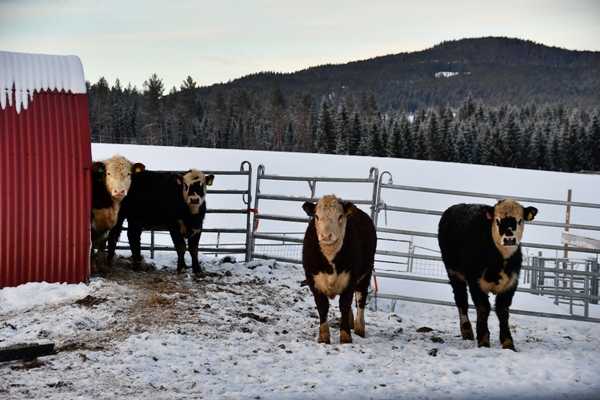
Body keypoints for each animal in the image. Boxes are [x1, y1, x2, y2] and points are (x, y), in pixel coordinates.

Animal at [302, 195, 378, 344]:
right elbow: (322, 306)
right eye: (317, 216)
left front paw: (346, 336)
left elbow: (344, 304)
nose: (326, 235)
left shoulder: (350, 278)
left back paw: (359, 328)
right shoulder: (312, 279)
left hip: (365, 274)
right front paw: (324, 337)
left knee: (360, 298)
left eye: (340, 216)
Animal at [436, 200, 540, 350]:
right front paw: (483, 340)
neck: (498, 262)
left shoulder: (511, 283)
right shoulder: (475, 282)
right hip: (453, 272)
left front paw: (508, 342)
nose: (509, 239)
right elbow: (483, 308)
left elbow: (503, 311)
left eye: (520, 220)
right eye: (497, 220)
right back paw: (467, 330)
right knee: (461, 300)